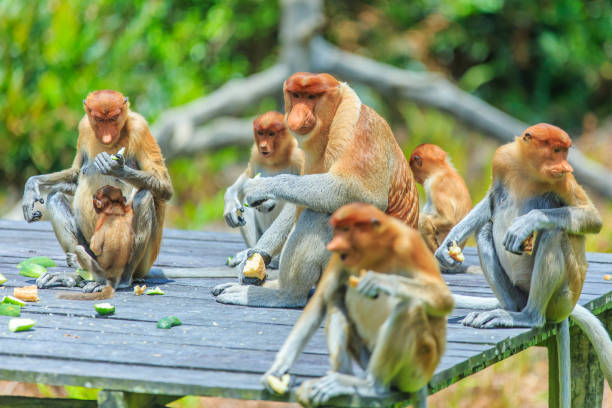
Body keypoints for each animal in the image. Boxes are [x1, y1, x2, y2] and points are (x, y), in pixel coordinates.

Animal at [22, 89, 172, 294]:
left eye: (114, 118)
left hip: (142, 262)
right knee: (55, 197)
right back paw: (76, 275)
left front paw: (116, 168)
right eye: (99, 120)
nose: (107, 138)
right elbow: (77, 174)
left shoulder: (140, 128)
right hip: (91, 250)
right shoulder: (84, 127)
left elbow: (165, 186)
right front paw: (32, 185)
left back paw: (122, 279)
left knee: (144, 195)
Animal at [213, 73, 418, 308]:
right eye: (296, 95)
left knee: (319, 214)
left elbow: (364, 194)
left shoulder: (358, 130)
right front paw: (254, 257)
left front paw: (261, 187)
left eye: (311, 96)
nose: (298, 114)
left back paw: (285, 295)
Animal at [262, 202, 454, 406]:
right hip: (367, 358)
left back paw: (371, 386)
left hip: (419, 367)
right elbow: (320, 302)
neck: (376, 251)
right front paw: (276, 370)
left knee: (408, 309)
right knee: (336, 299)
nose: (334, 244)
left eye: (346, 230)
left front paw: (376, 281)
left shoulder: (410, 244)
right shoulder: (341, 257)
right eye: (337, 230)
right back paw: (340, 378)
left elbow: (443, 298)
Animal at [436, 122, 612, 384]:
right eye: (557, 150)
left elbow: (592, 218)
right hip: (521, 293)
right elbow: (490, 200)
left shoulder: (563, 181)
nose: (567, 166)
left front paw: (528, 222)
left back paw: (527, 317)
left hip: (562, 299)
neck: (528, 168)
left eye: (565, 152)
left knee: (553, 233)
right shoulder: (502, 158)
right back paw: (506, 310)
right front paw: (450, 242)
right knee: (484, 230)